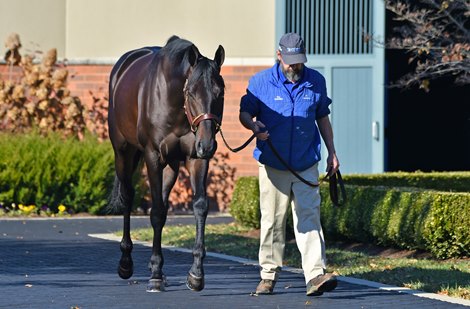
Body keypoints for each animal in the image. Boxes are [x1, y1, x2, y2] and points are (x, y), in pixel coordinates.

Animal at [107, 36, 225, 292]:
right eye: (190, 92)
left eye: (220, 93)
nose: (208, 144)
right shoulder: (152, 157)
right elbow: (158, 213)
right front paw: (155, 276)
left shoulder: (195, 158)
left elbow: (199, 206)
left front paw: (196, 274)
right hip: (123, 153)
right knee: (128, 197)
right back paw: (126, 262)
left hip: (171, 165)